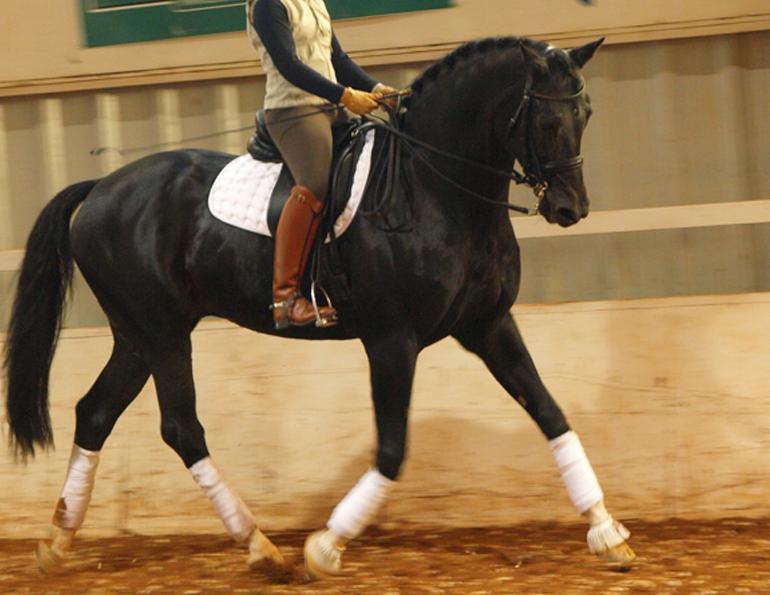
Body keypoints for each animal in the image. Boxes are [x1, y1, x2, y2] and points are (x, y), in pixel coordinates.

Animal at [4, 35, 635, 578]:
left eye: (586, 115)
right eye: (546, 120)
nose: (571, 208)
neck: (435, 188)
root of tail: (101, 187)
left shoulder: (489, 325)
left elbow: (552, 415)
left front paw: (607, 534)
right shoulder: (392, 340)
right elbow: (392, 449)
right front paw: (325, 547)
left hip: (139, 337)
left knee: (95, 413)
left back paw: (58, 541)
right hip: (162, 335)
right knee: (181, 428)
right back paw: (262, 549)